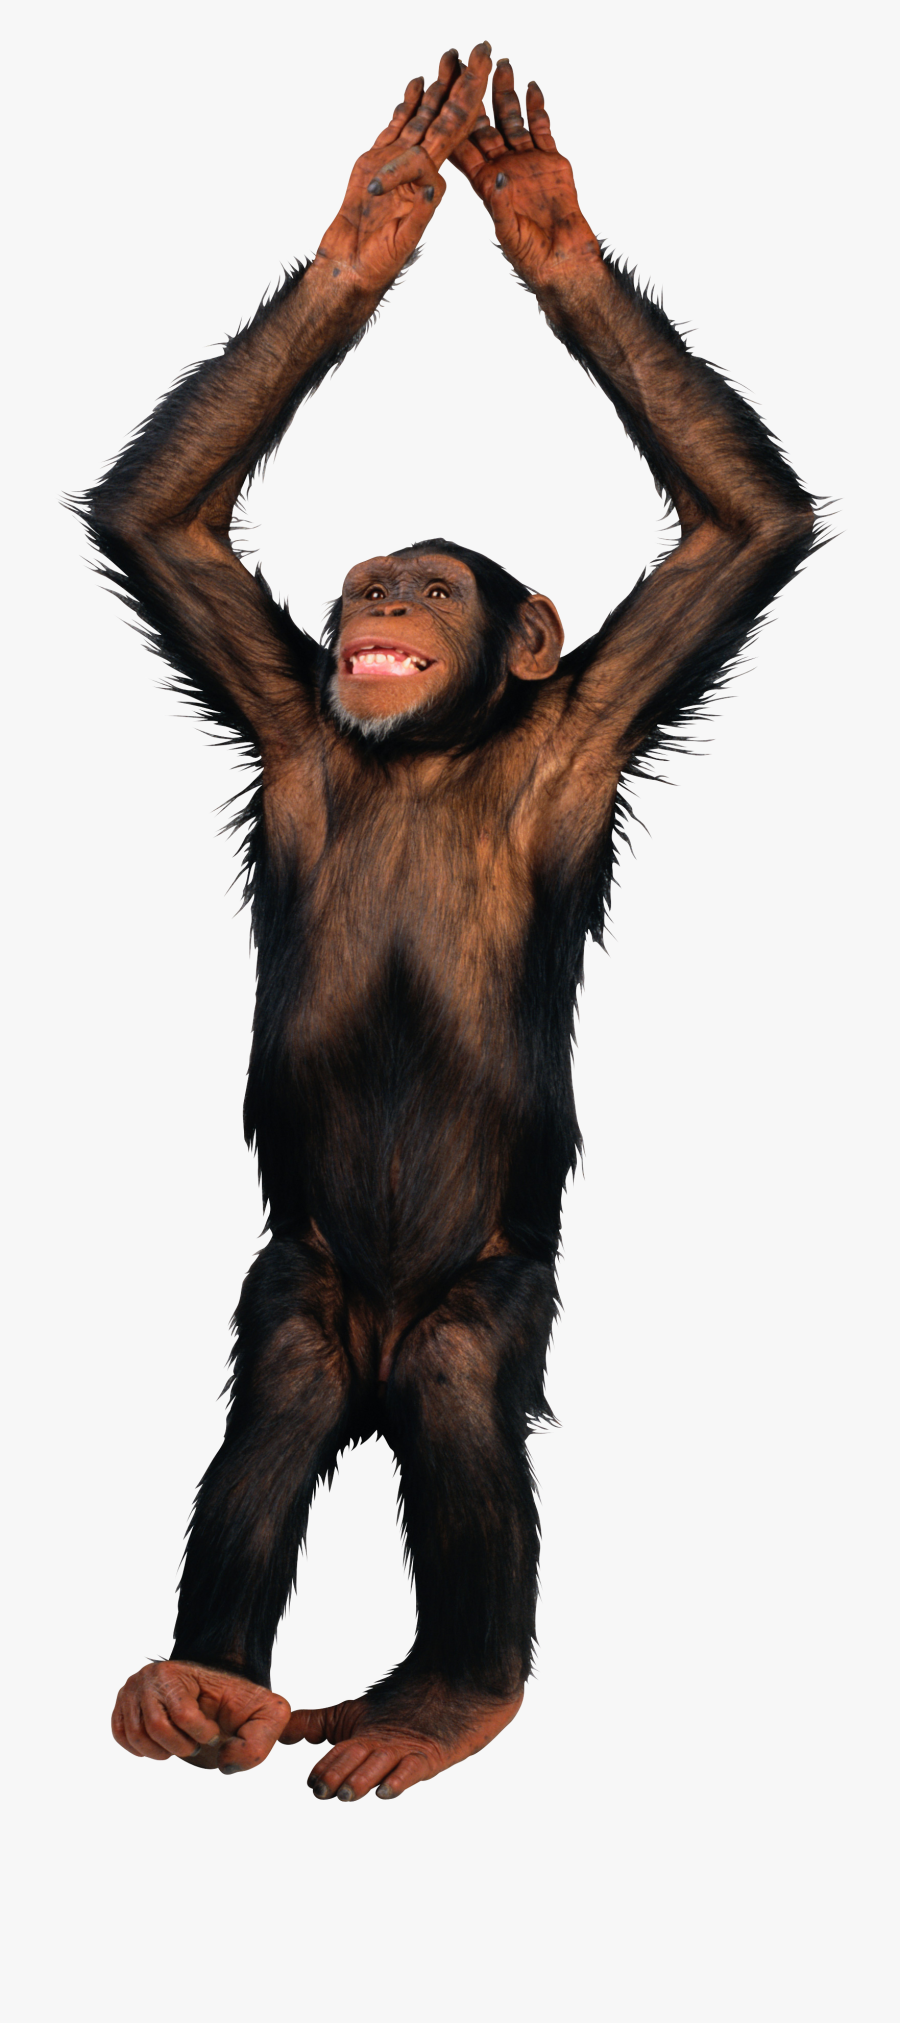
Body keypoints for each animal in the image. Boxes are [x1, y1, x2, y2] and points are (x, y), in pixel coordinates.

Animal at [80, 46, 818, 1800]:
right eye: (361, 583)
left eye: (424, 582)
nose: (374, 602)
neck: (432, 746)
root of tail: (373, 1349)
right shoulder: (285, 704)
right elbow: (164, 526)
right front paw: (379, 213)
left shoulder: (595, 720)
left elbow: (741, 530)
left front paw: (547, 223)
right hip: (299, 1281)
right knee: (272, 1412)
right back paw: (200, 1684)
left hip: (484, 1295)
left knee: (468, 1404)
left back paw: (450, 1694)